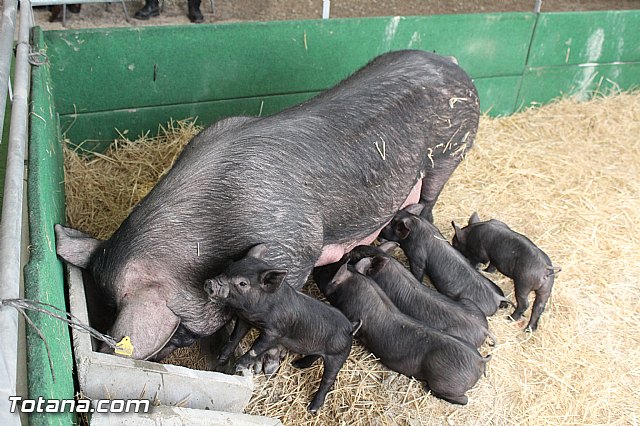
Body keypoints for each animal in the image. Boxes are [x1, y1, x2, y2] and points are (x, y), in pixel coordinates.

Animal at [205, 246, 356, 412]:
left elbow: (255, 349)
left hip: (339, 356)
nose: (209, 282)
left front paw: (238, 366)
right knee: (314, 356)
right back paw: (297, 364)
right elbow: (234, 337)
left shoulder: (274, 332)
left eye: (242, 283)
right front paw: (221, 358)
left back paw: (312, 409)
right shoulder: (244, 319)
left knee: (328, 380)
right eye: (228, 267)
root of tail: (351, 327)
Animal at [316, 262, 490, 406]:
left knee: (464, 399)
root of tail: (480, 360)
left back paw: (427, 389)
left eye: (328, 272)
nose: (318, 267)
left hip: (446, 383)